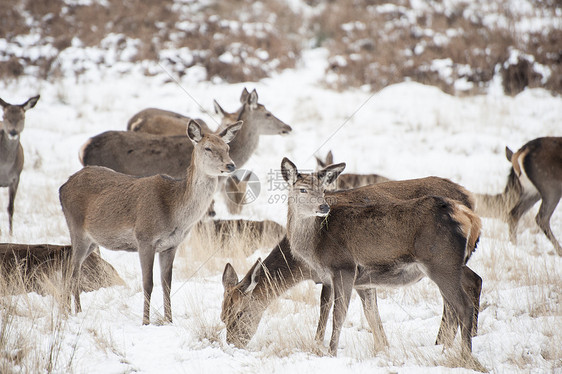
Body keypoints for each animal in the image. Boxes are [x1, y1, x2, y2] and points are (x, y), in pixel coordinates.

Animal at [0, 95, 40, 232]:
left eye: (22, 117)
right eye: (5, 116)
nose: (13, 132)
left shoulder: (16, 178)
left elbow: (10, 208)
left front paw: (11, 233)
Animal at [59, 120, 241, 324]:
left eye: (227, 147)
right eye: (208, 148)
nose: (230, 165)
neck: (174, 213)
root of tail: (63, 187)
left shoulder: (171, 245)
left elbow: (167, 284)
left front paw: (169, 320)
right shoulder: (145, 238)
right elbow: (148, 283)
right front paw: (145, 322)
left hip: (92, 240)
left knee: (72, 268)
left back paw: (72, 312)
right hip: (76, 227)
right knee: (72, 271)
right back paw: (71, 313)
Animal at [221, 176, 480, 356]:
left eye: (239, 313)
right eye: (222, 317)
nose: (232, 342)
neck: (300, 265)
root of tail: (470, 205)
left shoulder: (337, 273)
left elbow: (328, 311)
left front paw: (321, 347)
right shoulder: (350, 280)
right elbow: (367, 313)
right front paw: (382, 348)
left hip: (442, 264)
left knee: (462, 295)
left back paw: (450, 346)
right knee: (467, 287)